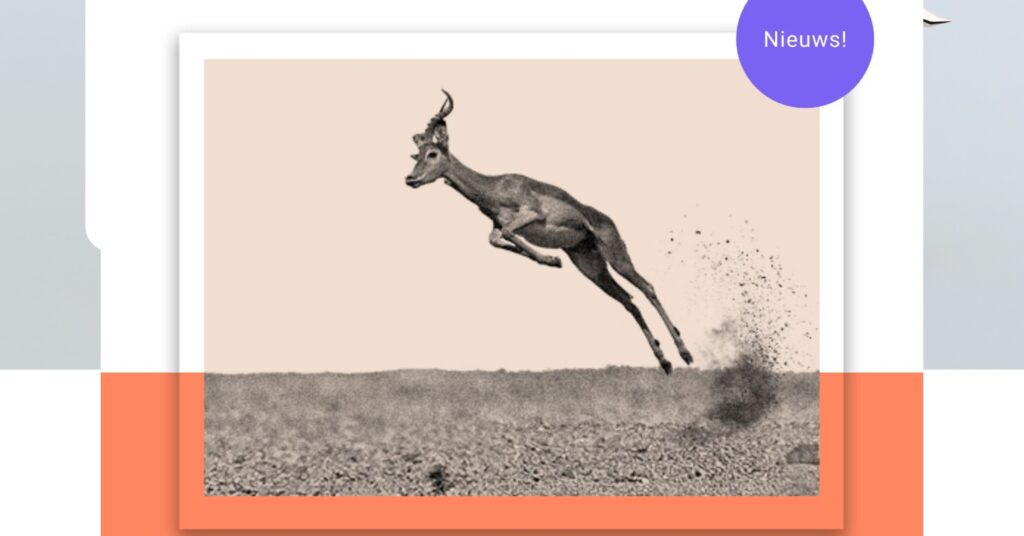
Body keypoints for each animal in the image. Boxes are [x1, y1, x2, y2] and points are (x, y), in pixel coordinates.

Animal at [405, 91, 693, 374]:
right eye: (416, 155)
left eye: (432, 153)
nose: (410, 179)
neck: (495, 188)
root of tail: (607, 220)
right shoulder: (498, 227)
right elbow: (497, 239)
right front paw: (553, 261)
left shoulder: (531, 215)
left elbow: (508, 233)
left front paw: (552, 259)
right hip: (591, 267)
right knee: (628, 300)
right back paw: (665, 362)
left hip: (617, 257)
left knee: (647, 288)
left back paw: (685, 353)